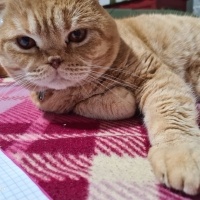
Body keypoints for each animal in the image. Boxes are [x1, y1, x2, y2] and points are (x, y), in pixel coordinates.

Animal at [0, 0, 200, 196]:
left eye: (77, 35)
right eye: (25, 41)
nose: (54, 60)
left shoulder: (155, 76)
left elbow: (171, 110)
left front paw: (179, 152)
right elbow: (104, 105)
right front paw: (118, 96)